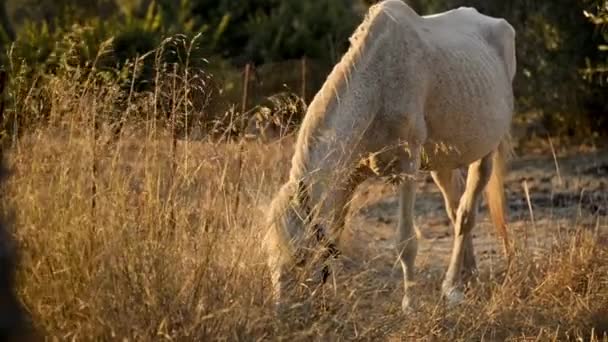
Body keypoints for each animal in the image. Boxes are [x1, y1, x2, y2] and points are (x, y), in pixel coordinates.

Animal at [264, 0, 516, 314]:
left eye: (300, 258)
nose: (281, 313)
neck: (378, 84)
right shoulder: (348, 177)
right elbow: (335, 235)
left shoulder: (407, 168)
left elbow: (406, 241)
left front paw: (409, 306)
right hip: (442, 163)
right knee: (455, 208)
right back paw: (465, 281)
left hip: (485, 154)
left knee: (465, 215)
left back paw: (452, 286)